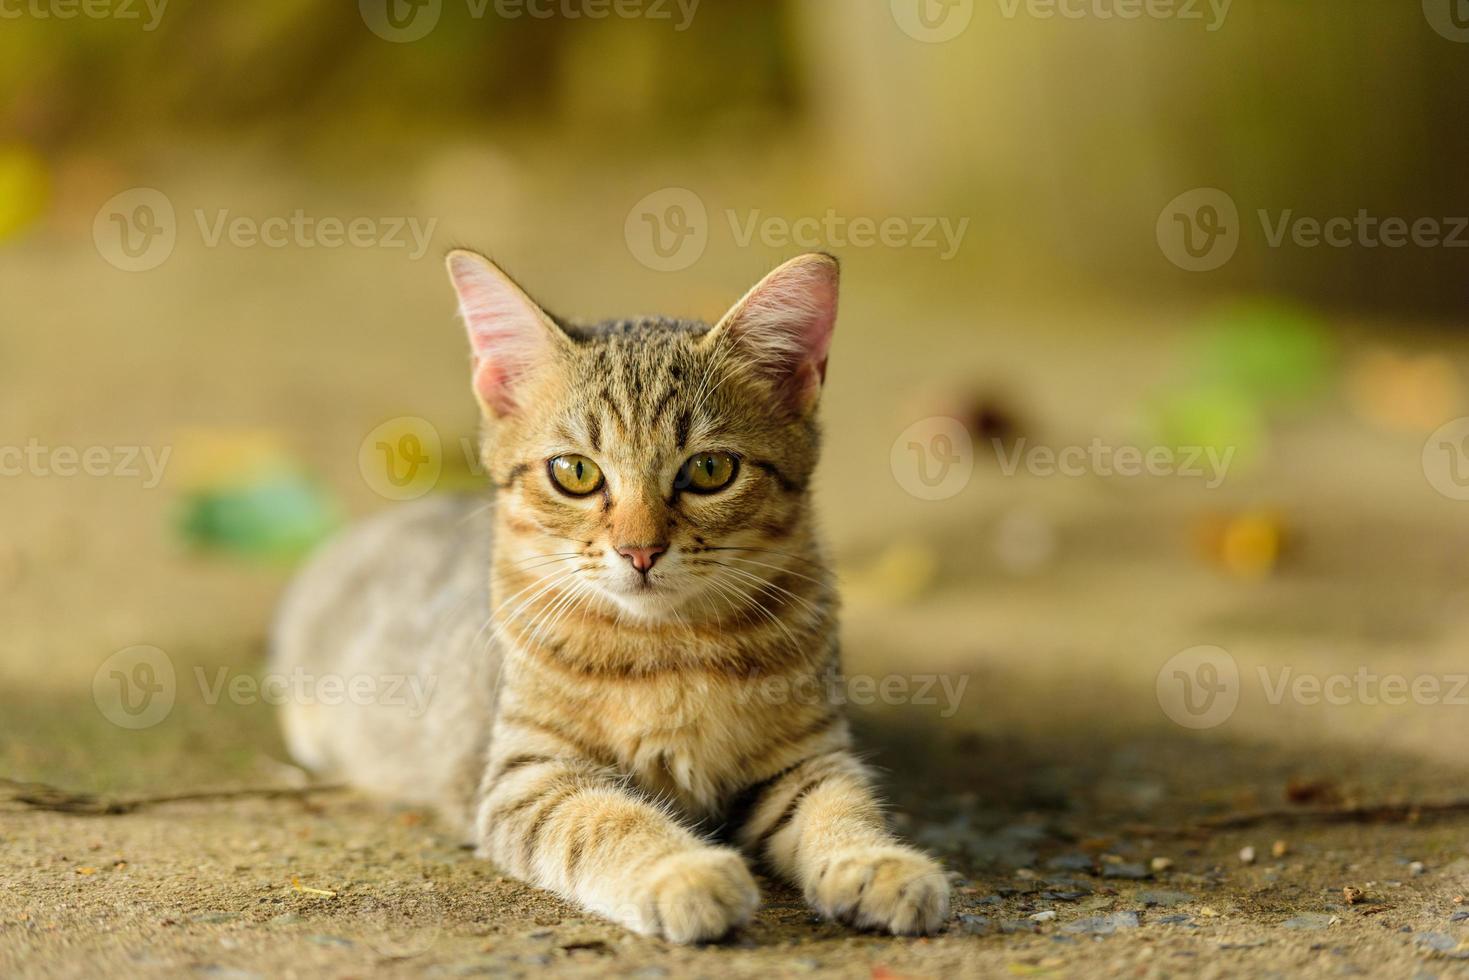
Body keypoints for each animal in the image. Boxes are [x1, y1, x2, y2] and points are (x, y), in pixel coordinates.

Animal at [268, 251, 946, 940]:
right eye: (575, 473)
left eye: (710, 470)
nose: (639, 551)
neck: (672, 648)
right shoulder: (528, 777)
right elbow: (608, 820)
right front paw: (683, 871)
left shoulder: (807, 758)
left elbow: (843, 807)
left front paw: (878, 862)